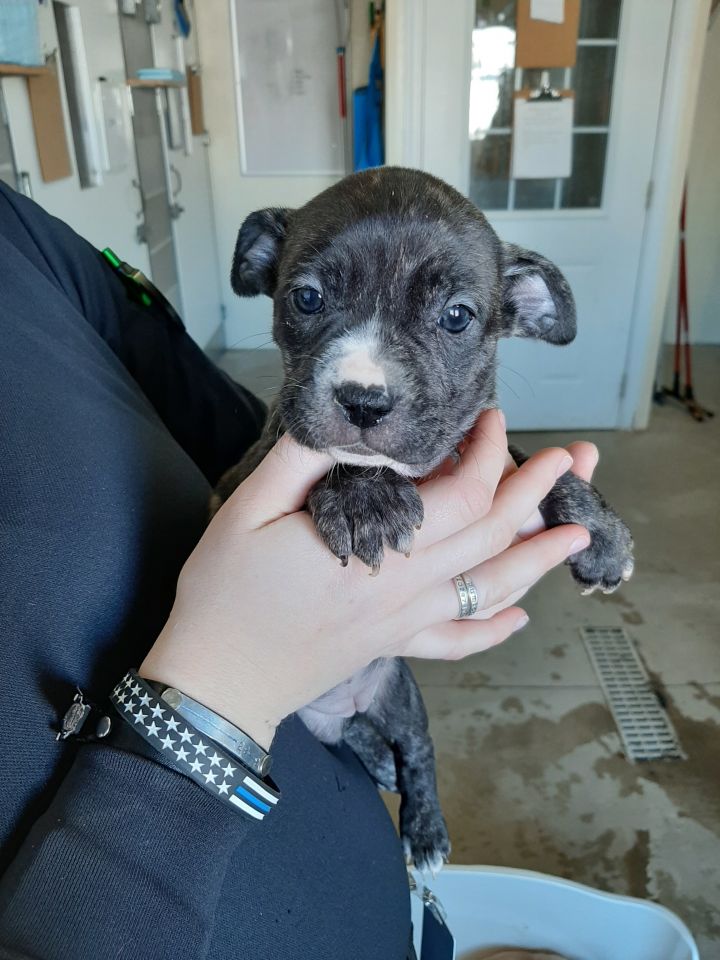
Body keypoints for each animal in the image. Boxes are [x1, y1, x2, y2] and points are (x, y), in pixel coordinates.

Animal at [212, 165, 632, 872]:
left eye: (456, 317)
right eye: (306, 299)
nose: (363, 399)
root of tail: (337, 710)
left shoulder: (483, 452)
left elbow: (535, 465)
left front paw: (599, 531)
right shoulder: (241, 476)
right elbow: (333, 455)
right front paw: (364, 498)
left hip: (399, 696)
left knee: (417, 754)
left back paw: (423, 823)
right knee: (369, 743)